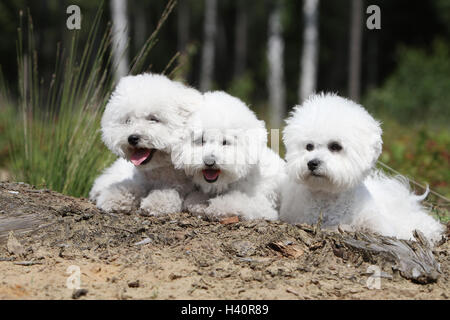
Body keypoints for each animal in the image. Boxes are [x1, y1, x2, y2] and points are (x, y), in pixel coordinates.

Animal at [89, 73, 201, 215]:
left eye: (153, 119)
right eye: (128, 120)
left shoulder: (183, 185)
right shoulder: (140, 180)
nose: (132, 138)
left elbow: (171, 190)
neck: (159, 171)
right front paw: (115, 197)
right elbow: (131, 187)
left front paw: (157, 202)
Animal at [172, 90, 284, 220]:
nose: (209, 162)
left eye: (225, 142)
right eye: (201, 140)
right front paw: (199, 203)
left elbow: (236, 201)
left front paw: (217, 207)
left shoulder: (262, 206)